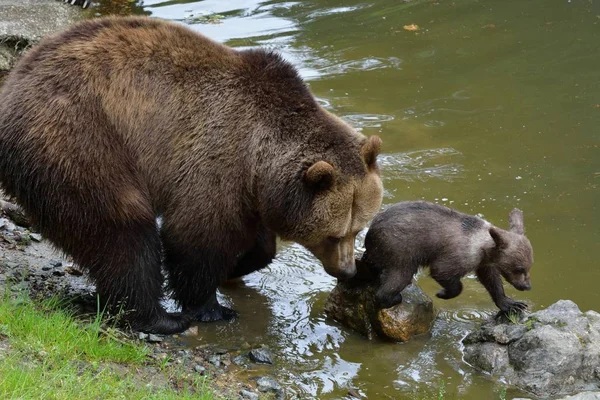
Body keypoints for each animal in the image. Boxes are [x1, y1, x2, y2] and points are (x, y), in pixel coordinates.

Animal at [0, 16, 384, 334]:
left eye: (358, 228)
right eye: (334, 235)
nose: (347, 270)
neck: (261, 155)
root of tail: (16, 80)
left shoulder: (250, 189)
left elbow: (258, 241)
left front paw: (235, 267)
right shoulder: (217, 156)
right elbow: (195, 236)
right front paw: (212, 306)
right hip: (79, 135)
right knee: (121, 227)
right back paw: (158, 318)